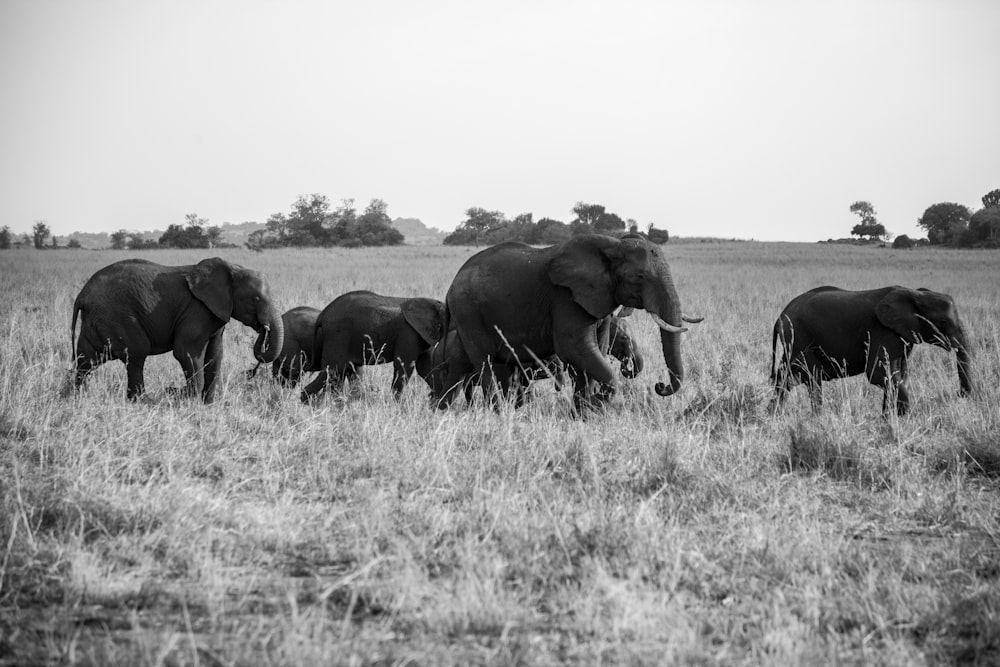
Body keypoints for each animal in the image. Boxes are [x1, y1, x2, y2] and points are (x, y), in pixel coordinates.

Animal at [68, 256, 284, 402]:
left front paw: (208, 404)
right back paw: (142, 402)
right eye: (256, 299)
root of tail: (82, 295)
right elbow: (186, 352)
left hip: (98, 319)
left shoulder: (216, 313)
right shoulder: (197, 310)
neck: (233, 268)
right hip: (117, 316)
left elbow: (215, 355)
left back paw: (74, 397)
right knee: (136, 354)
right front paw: (189, 401)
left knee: (86, 359)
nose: (264, 328)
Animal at [298, 290, 448, 402]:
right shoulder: (409, 333)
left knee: (341, 373)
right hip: (338, 334)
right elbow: (405, 366)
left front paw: (438, 399)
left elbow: (425, 367)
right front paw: (397, 405)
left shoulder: (422, 334)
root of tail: (323, 314)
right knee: (334, 370)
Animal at [434, 235, 700, 412]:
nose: (660, 386)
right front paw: (596, 402)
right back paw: (498, 412)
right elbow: (575, 349)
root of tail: (450, 288)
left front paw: (583, 413)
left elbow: (595, 350)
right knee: (486, 362)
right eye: (640, 277)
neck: (611, 246)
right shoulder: (565, 298)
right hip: (469, 313)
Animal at [768, 286, 972, 414]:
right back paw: (815, 419)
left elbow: (897, 374)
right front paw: (902, 419)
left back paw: (774, 415)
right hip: (800, 337)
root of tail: (780, 317)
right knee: (811, 378)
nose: (959, 394)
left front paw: (889, 420)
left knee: (786, 378)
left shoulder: (902, 336)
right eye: (943, 322)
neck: (916, 294)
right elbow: (879, 374)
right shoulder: (882, 330)